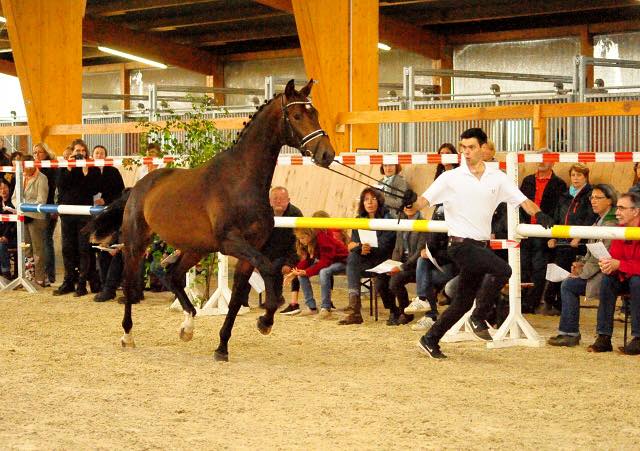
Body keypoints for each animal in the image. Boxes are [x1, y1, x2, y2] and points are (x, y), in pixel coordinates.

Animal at [89, 79, 336, 362]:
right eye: (296, 115)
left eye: (314, 113)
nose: (326, 153)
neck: (240, 180)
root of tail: (138, 186)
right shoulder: (231, 243)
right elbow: (269, 267)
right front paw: (266, 319)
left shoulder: (249, 250)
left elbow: (238, 297)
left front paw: (223, 346)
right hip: (136, 243)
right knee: (131, 283)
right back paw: (128, 335)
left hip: (195, 249)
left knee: (173, 275)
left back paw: (187, 327)